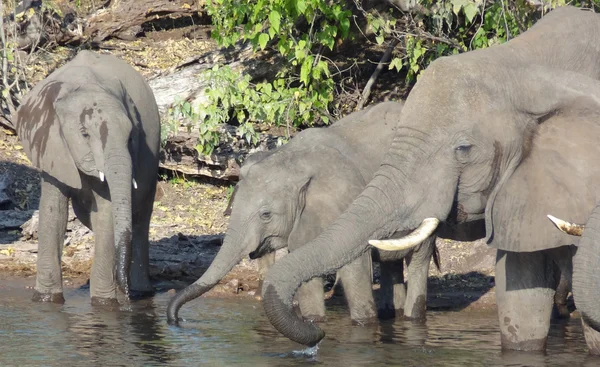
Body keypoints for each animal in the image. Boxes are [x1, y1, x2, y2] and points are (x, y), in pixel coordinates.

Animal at [16, 50, 161, 306]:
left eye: (131, 137)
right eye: (84, 134)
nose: (126, 297)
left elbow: (106, 214)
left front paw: (104, 304)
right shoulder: (50, 142)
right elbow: (54, 213)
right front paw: (46, 300)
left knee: (141, 217)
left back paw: (140, 292)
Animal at [166, 100, 438, 324]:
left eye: (266, 215)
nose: (176, 319)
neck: (292, 161)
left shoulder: (348, 203)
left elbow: (354, 267)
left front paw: (363, 324)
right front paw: (313, 321)